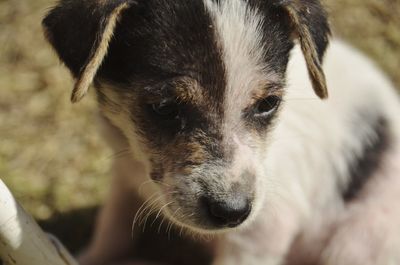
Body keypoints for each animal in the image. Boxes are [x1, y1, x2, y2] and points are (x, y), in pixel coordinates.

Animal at [42, 0, 400, 264]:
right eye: (164, 107)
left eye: (268, 103)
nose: (232, 212)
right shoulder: (124, 177)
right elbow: (111, 230)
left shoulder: (258, 235)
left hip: (354, 244)